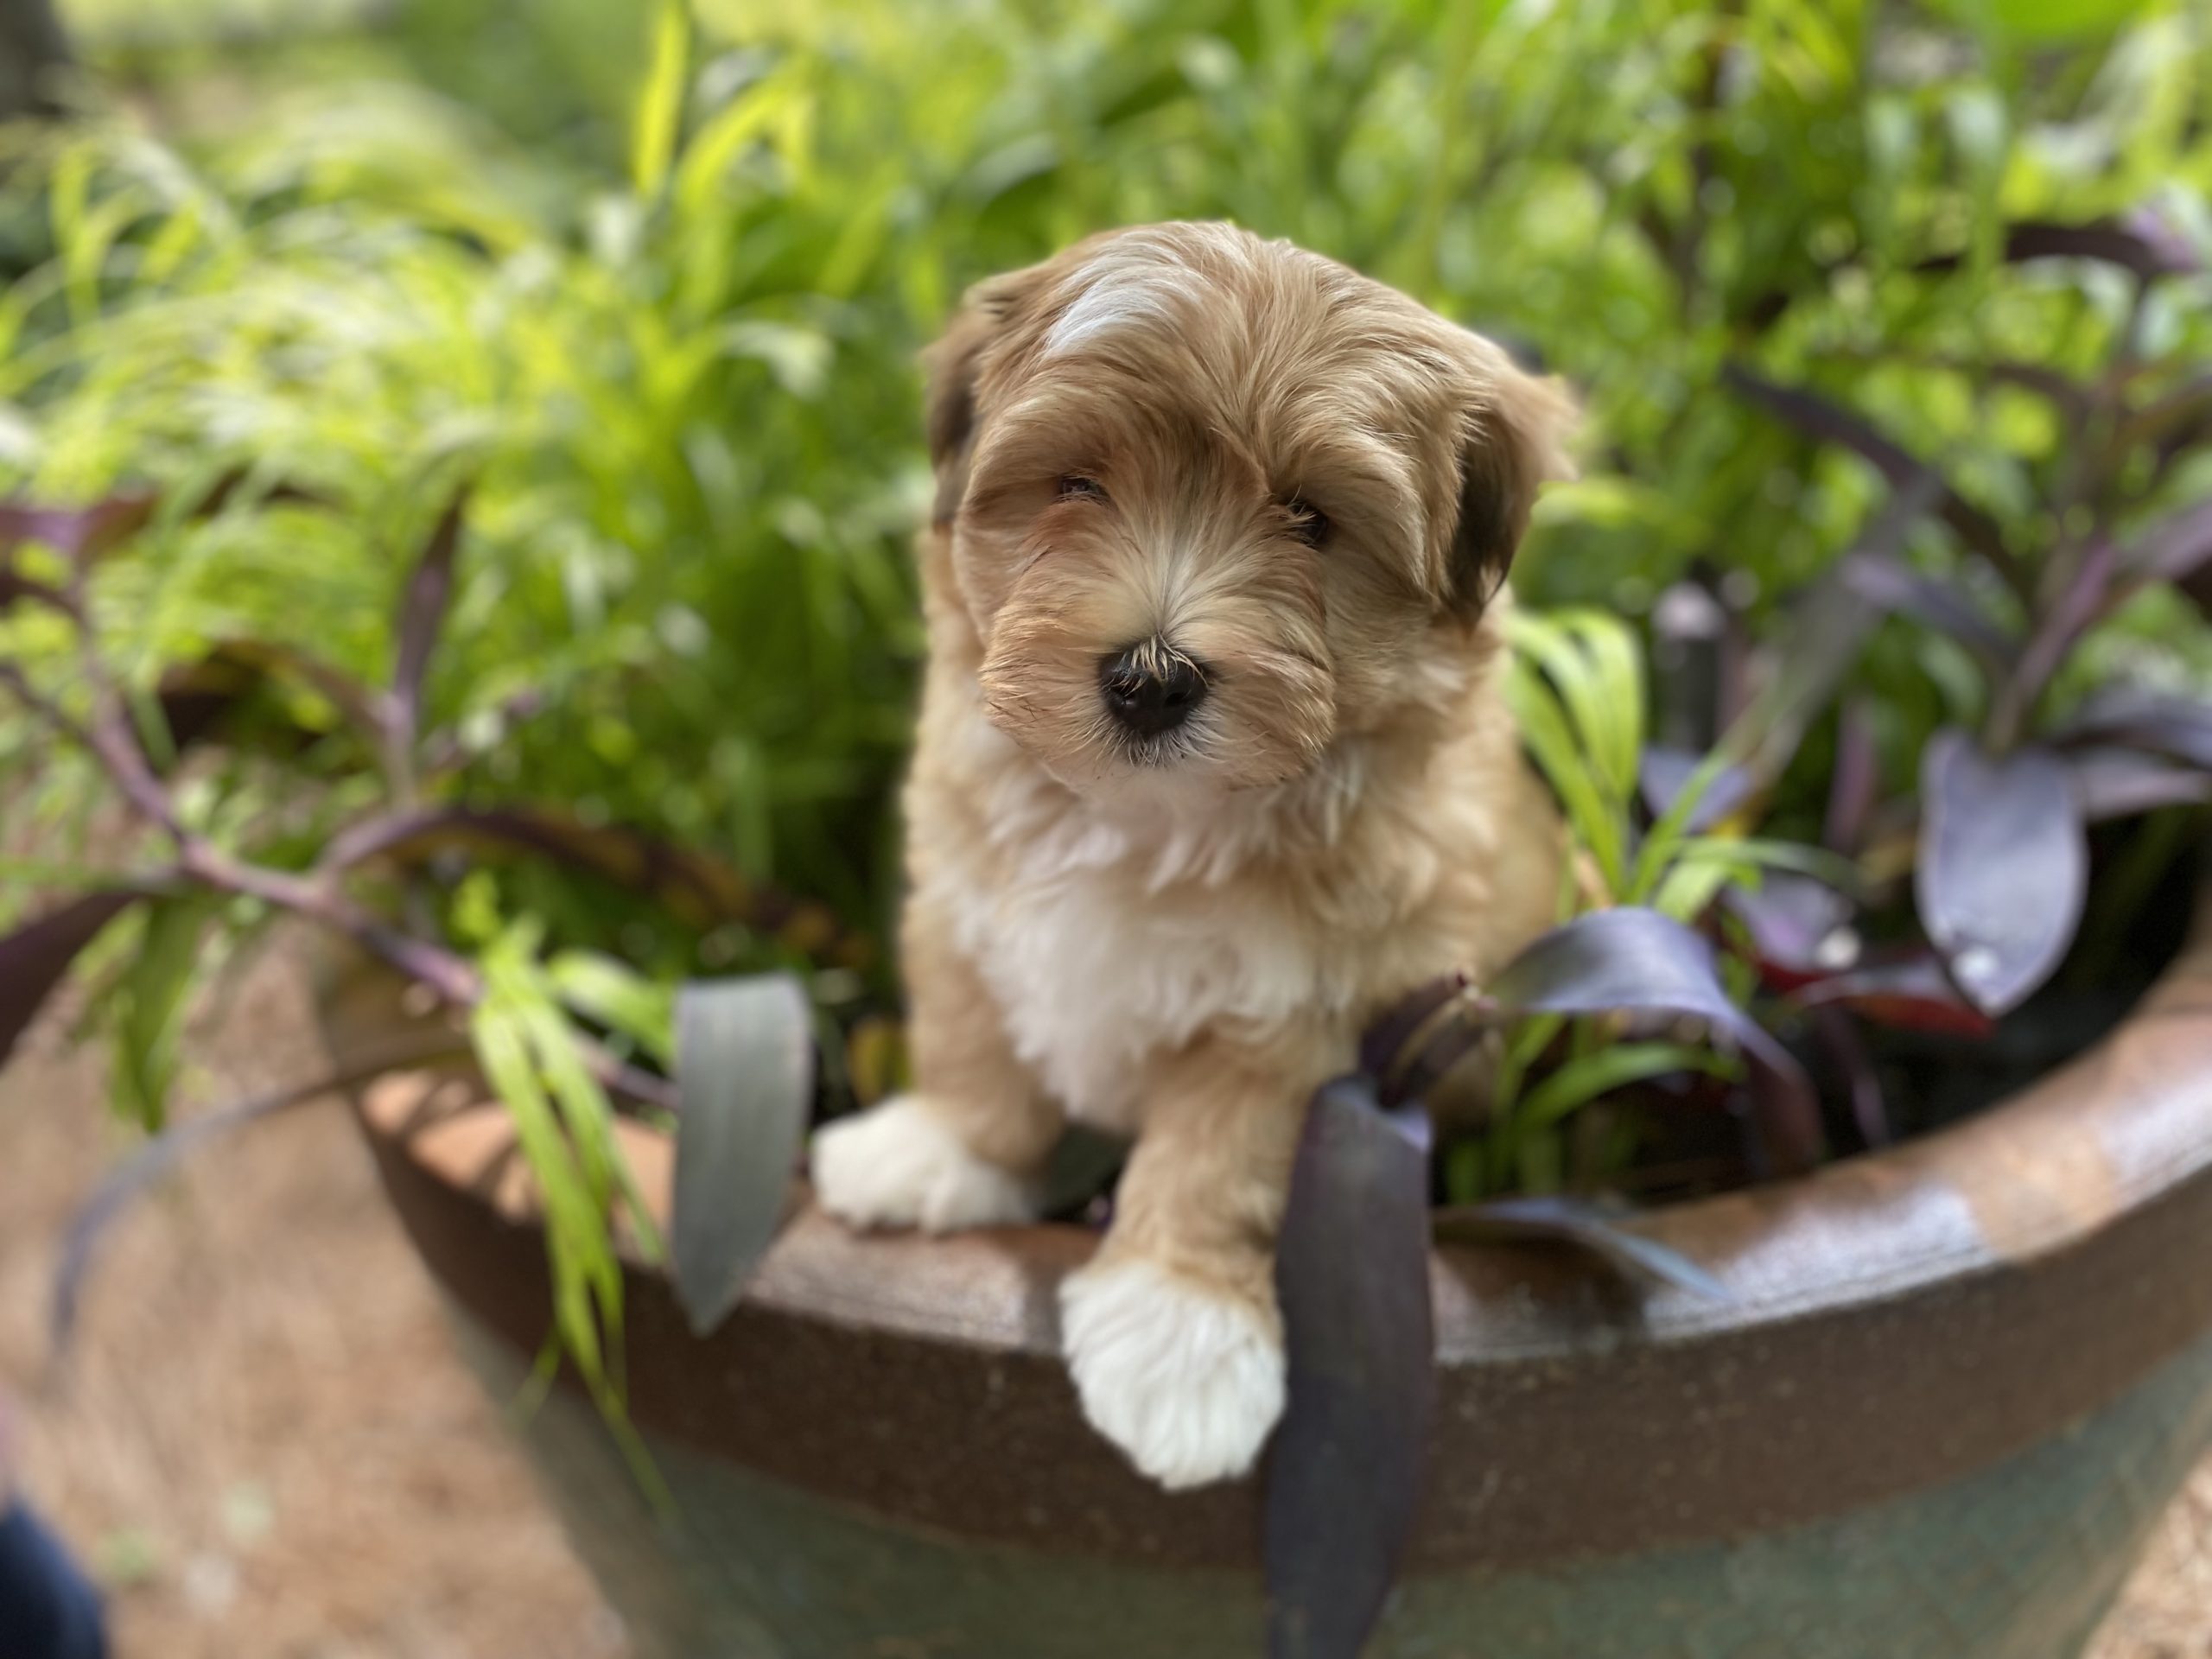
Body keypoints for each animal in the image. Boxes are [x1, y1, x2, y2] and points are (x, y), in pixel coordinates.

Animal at [814, 224, 1574, 1495]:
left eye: (1311, 519)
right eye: (1077, 483)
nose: (1150, 677)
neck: (1149, 819)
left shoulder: (1308, 1001)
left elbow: (1219, 1159)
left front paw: (1180, 1339)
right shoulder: (963, 886)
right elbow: (973, 1030)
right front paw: (941, 1149)